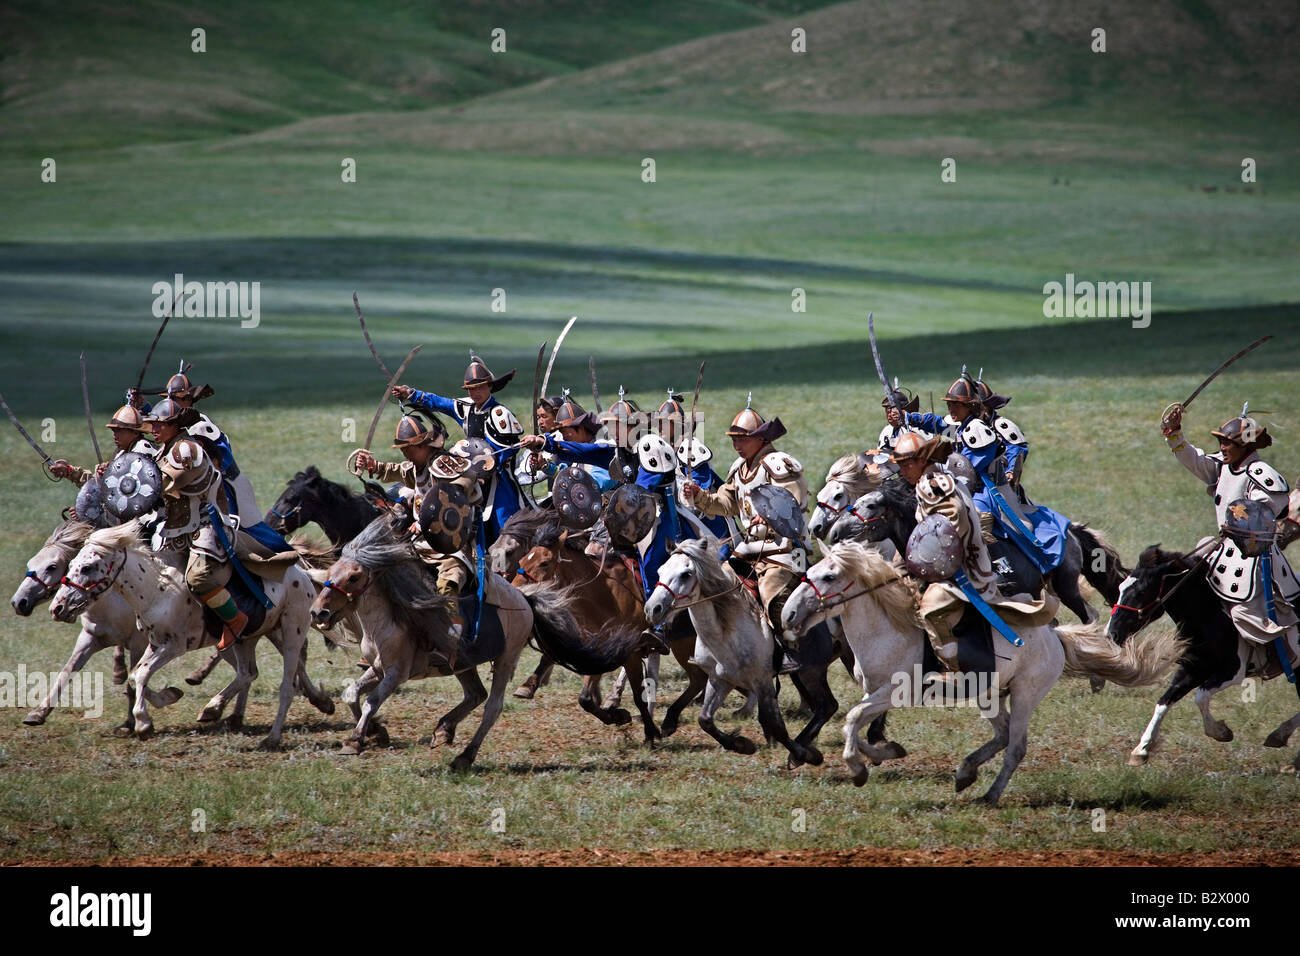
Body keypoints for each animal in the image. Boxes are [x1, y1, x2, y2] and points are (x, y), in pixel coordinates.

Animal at [10, 520, 183, 728]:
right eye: (30, 563)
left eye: (52, 566)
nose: (18, 602)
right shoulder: (89, 638)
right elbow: (67, 671)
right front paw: (38, 713)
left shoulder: (139, 644)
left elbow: (135, 679)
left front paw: (133, 721)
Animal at [49, 515, 335, 749]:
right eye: (70, 565)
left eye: (87, 567)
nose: (57, 607)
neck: (156, 589)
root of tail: (302, 573)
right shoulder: (154, 643)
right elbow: (135, 676)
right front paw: (168, 697)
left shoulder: (173, 646)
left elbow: (140, 674)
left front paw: (143, 723)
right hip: (248, 637)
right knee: (249, 673)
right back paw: (216, 709)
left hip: (291, 630)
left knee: (286, 684)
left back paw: (272, 737)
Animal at [309, 512, 574, 775]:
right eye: (331, 571)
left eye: (353, 577)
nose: (318, 612)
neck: (386, 622)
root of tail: (524, 599)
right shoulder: (377, 669)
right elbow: (351, 694)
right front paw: (375, 732)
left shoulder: (396, 673)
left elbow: (371, 702)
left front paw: (355, 741)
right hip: (463, 664)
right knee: (475, 694)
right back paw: (444, 729)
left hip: (505, 660)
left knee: (492, 707)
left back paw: (465, 756)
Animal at [644, 538, 837, 770]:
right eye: (660, 570)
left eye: (686, 574)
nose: (652, 609)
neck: (727, 632)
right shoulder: (720, 679)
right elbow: (705, 719)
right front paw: (741, 745)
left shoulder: (762, 682)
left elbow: (777, 726)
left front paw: (804, 754)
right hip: (805, 673)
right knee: (824, 706)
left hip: (812, 672)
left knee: (827, 706)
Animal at [774, 541, 1185, 806]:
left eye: (828, 577)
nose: (788, 615)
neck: (890, 628)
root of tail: (1055, 637)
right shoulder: (876, 692)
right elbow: (856, 725)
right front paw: (883, 752)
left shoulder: (893, 692)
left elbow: (853, 719)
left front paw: (858, 768)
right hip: (988, 695)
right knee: (1001, 735)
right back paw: (965, 774)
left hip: (1025, 695)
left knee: (1015, 746)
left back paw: (989, 794)